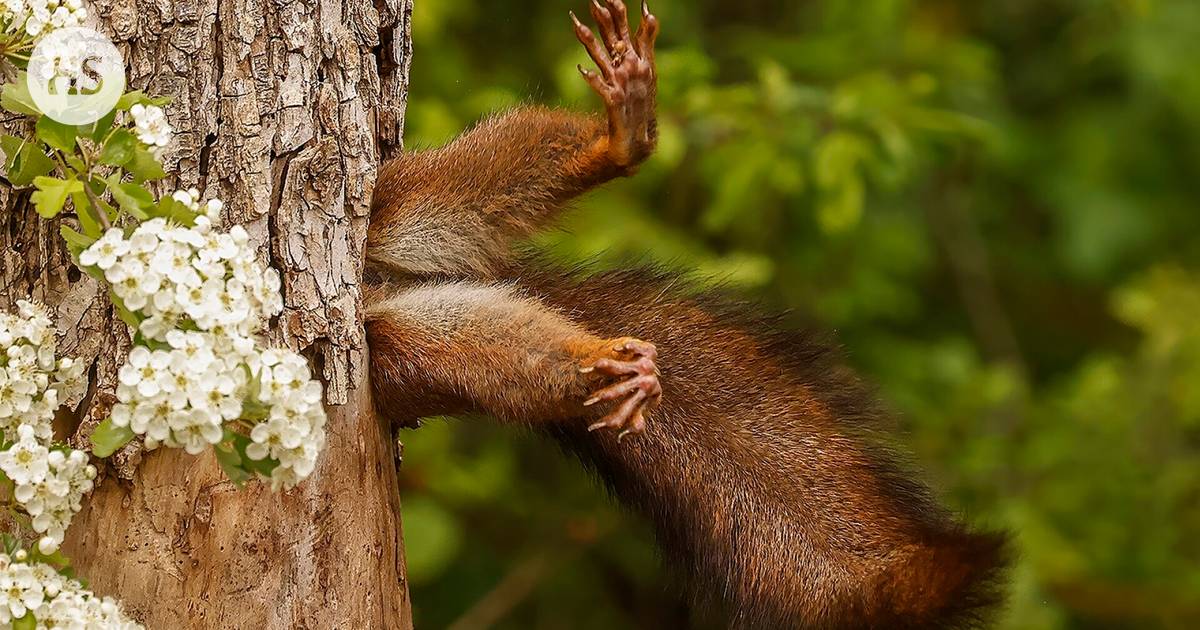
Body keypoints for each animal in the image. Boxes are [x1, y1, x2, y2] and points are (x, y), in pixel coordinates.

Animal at [360, 2, 1008, 624]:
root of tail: (382, 286)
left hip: (396, 203)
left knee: (471, 181)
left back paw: (620, 140)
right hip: (400, 349)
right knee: (486, 353)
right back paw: (605, 367)